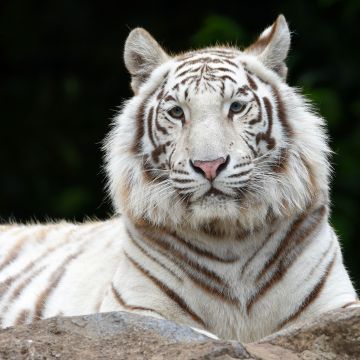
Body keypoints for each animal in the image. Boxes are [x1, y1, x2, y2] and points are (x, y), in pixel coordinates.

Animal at [0, 15, 358, 342]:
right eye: (176, 113)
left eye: (236, 107)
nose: (210, 165)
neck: (231, 239)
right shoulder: (135, 312)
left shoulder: (337, 305)